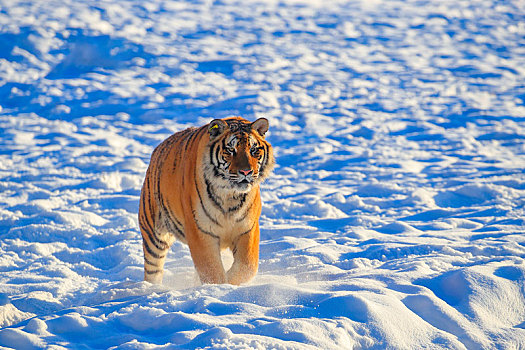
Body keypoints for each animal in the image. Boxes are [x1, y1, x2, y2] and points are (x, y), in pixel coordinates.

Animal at [137, 116, 276, 286]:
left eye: (253, 150)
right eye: (231, 150)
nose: (246, 172)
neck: (230, 196)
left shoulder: (247, 228)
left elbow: (247, 265)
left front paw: (231, 282)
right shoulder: (201, 231)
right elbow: (212, 270)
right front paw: (220, 286)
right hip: (153, 233)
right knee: (153, 268)